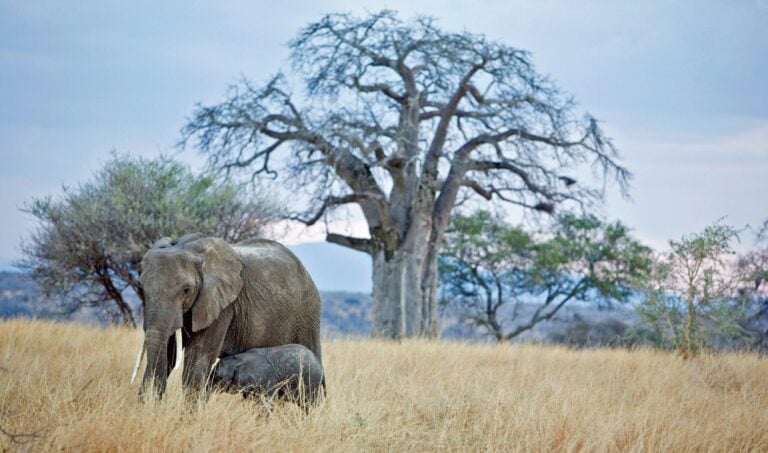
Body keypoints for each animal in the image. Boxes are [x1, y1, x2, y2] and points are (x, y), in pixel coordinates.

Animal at [132, 231, 320, 398]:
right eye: (141, 287)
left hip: (307, 313)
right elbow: (168, 352)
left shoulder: (222, 305)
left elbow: (198, 358)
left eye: (186, 290)